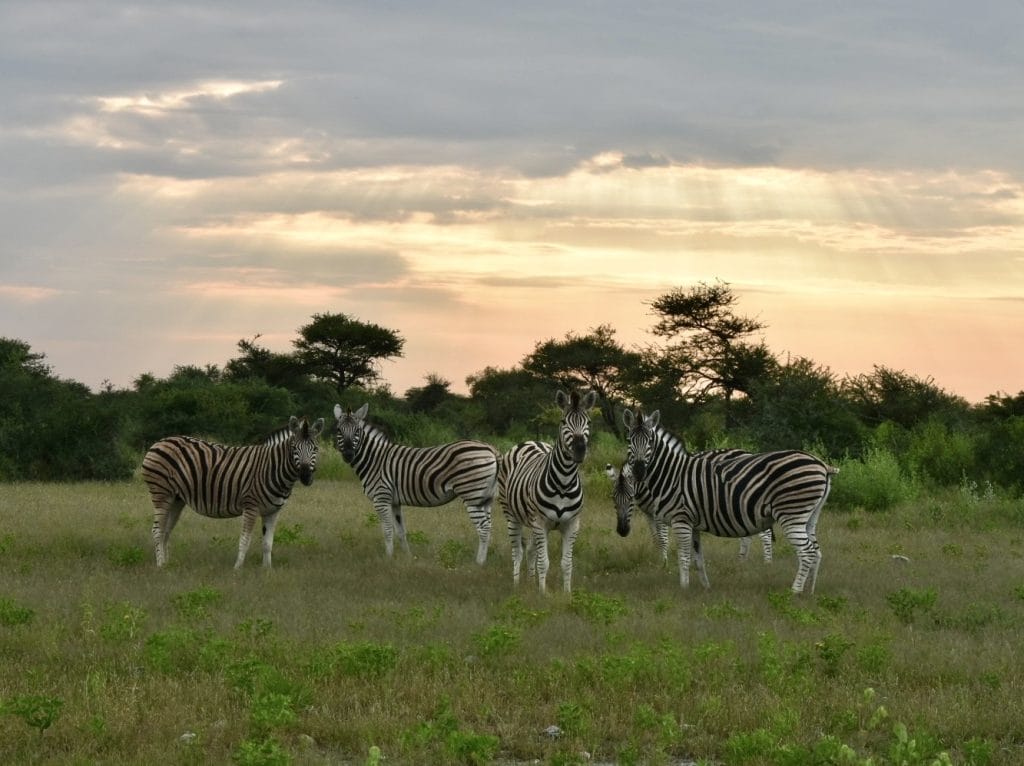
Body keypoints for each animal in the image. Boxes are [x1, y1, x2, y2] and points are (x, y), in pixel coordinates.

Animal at [142, 416, 325, 569]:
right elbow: (245, 540)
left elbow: (267, 543)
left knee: (166, 530)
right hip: (161, 493)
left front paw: (267, 571)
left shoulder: (273, 511)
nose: (306, 476)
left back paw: (168, 564)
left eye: (316, 448)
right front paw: (237, 569)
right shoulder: (251, 506)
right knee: (157, 530)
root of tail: (160, 442)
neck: (271, 468)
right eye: (294, 448)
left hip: (176, 499)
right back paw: (160, 565)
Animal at [333, 403, 500, 565]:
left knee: (483, 528)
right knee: (489, 526)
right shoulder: (394, 502)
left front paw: (388, 558)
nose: (348, 454)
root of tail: (490, 448)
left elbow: (387, 530)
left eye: (357, 431)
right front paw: (408, 558)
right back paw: (483, 561)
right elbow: (401, 531)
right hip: (485, 498)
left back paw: (479, 563)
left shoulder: (381, 498)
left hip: (472, 495)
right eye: (339, 430)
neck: (375, 460)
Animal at [498, 389, 598, 594]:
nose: (579, 450)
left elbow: (566, 563)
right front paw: (543, 594)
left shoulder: (572, 525)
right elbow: (544, 563)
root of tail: (531, 441)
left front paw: (566, 594)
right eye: (563, 422)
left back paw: (530, 582)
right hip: (511, 515)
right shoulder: (540, 523)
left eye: (589, 422)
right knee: (517, 552)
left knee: (529, 550)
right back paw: (517, 585)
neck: (564, 483)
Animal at [605, 456, 774, 564]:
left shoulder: (661, 512)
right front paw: (659, 559)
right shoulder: (649, 514)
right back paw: (741, 561)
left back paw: (767, 563)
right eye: (613, 499)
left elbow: (663, 538)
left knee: (765, 533)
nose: (622, 531)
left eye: (631, 498)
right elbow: (655, 538)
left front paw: (665, 563)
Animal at [623, 409, 837, 594]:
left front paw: (683, 589)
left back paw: (795, 592)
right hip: (809, 516)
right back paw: (809, 592)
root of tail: (821, 464)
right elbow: (697, 559)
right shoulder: (693, 523)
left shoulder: (681, 519)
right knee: (817, 552)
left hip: (791, 514)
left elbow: (683, 557)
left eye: (650, 441)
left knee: (807, 552)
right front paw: (705, 588)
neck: (672, 474)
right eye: (628, 440)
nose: (639, 471)